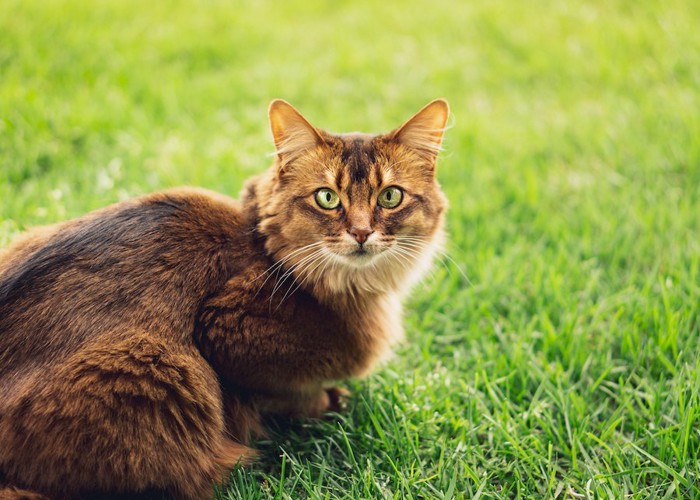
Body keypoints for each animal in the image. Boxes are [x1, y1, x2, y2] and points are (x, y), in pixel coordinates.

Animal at [0, 98, 448, 500]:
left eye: (390, 197)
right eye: (327, 198)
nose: (360, 233)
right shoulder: (226, 332)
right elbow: (286, 391)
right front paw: (327, 402)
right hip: (158, 368)